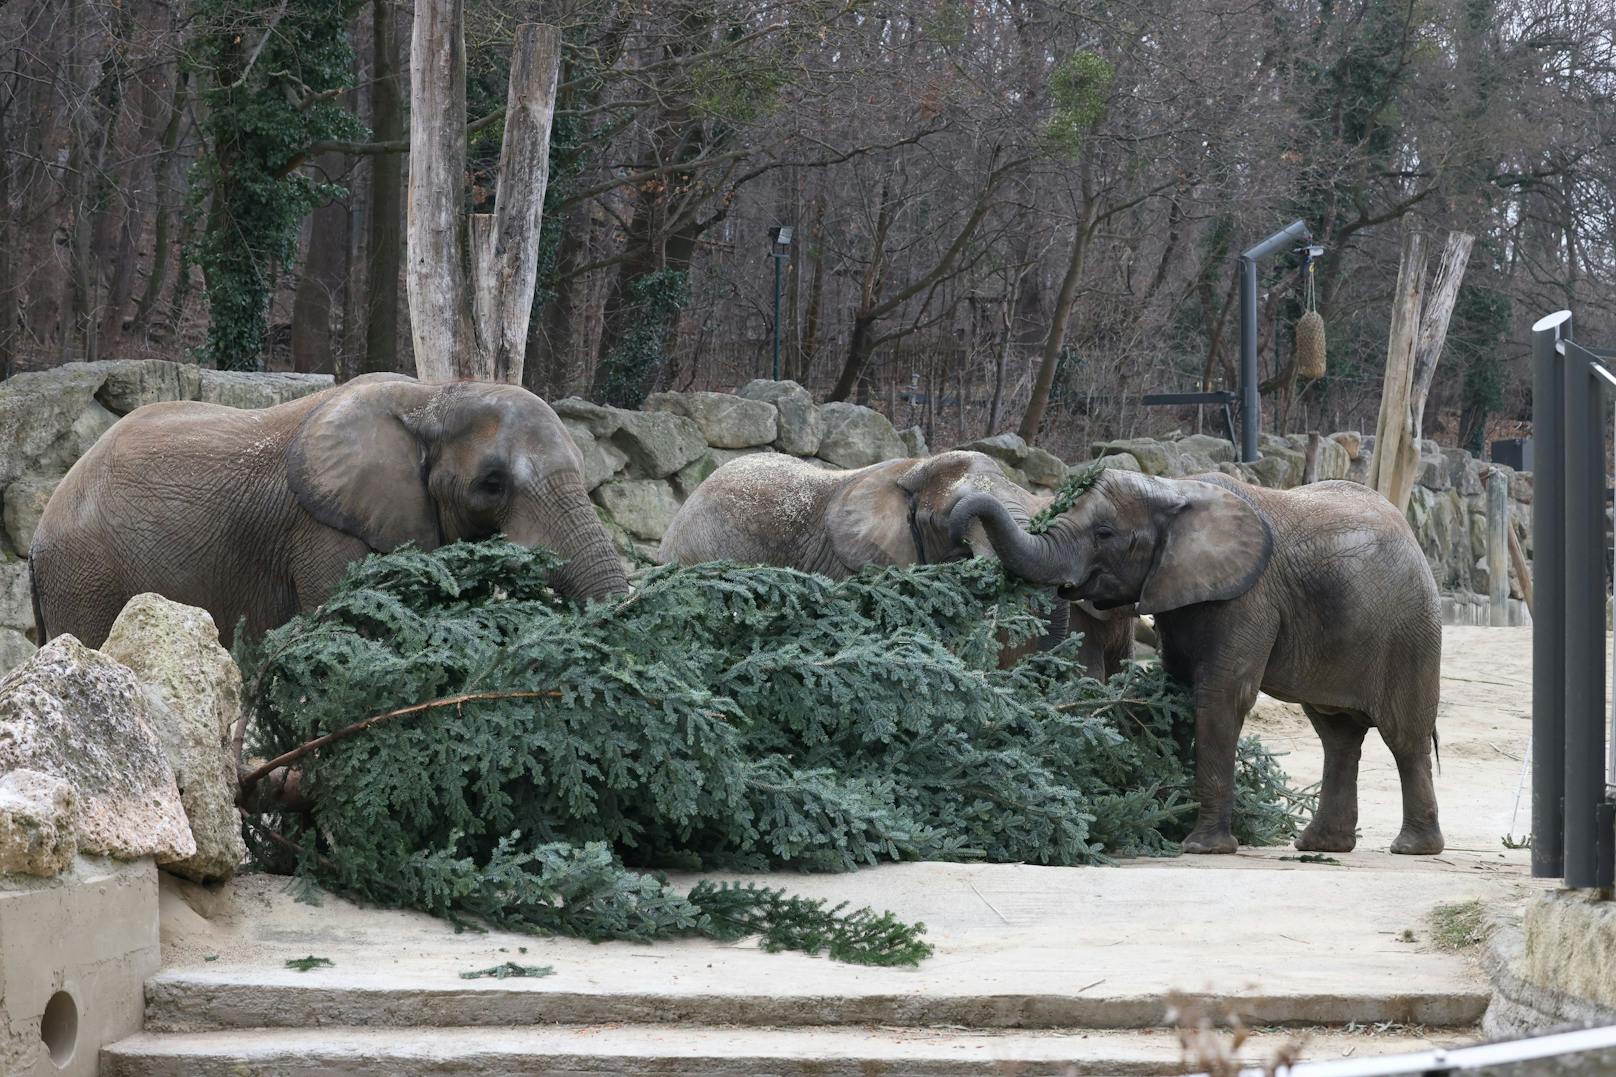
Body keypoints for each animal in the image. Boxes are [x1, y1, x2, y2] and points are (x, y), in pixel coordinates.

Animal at [943, 468, 1441, 853]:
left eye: (1104, 534)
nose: (956, 526)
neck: (1169, 489)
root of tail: (1414, 539)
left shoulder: (1248, 595)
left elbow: (1221, 696)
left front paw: (1201, 846)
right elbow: (1176, 692)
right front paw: (1166, 822)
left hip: (1410, 630)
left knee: (1403, 735)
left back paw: (1412, 848)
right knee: (1337, 735)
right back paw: (1319, 845)